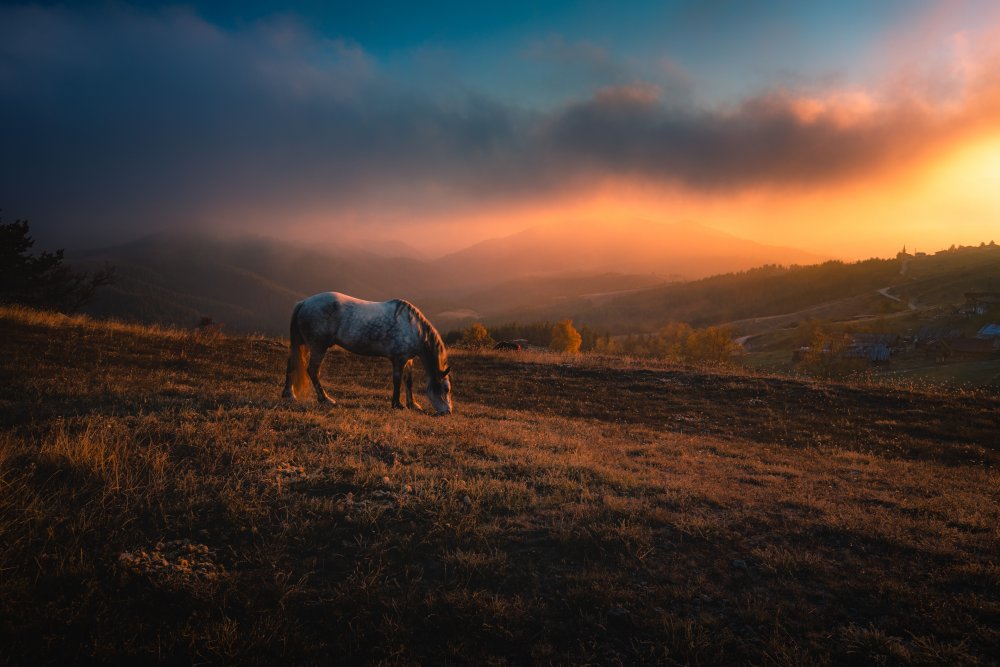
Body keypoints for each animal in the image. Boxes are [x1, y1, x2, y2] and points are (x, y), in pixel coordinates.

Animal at [282, 290, 454, 412]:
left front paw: (413, 404)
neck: (412, 327)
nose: (448, 411)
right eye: (446, 389)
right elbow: (397, 381)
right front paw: (397, 404)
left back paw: (289, 394)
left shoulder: (408, 359)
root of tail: (304, 303)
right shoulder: (398, 359)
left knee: (292, 364)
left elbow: (408, 381)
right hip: (318, 346)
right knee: (312, 370)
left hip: (303, 343)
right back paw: (325, 399)